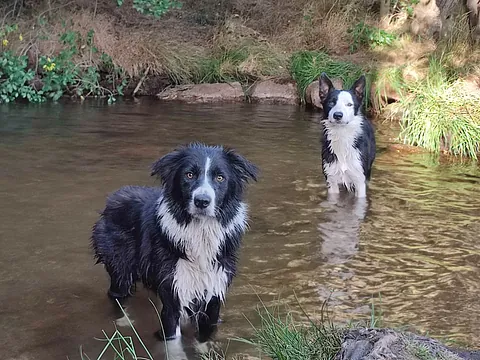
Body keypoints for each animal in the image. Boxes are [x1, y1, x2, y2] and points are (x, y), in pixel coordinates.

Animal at [88, 142, 256, 344]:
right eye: (189, 175)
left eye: (220, 177)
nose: (202, 201)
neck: (200, 233)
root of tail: (114, 196)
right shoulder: (172, 293)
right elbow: (172, 341)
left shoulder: (213, 294)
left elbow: (205, 337)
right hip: (118, 265)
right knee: (117, 295)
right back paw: (124, 321)